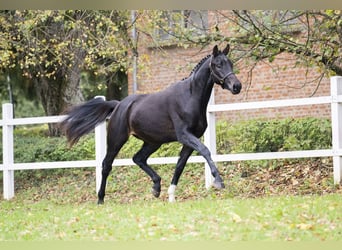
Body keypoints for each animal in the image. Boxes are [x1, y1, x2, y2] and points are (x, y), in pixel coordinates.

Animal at [62, 44, 243, 203]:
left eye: (230, 63)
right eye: (218, 65)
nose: (237, 86)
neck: (189, 97)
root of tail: (118, 105)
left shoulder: (189, 141)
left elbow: (180, 165)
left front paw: (171, 197)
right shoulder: (185, 135)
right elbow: (205, 151)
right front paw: (218, 181)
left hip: (153, 142)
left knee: (138, 158)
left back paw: (156, 187)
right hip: (117, 139)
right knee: (107, 165)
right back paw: (100, 199)